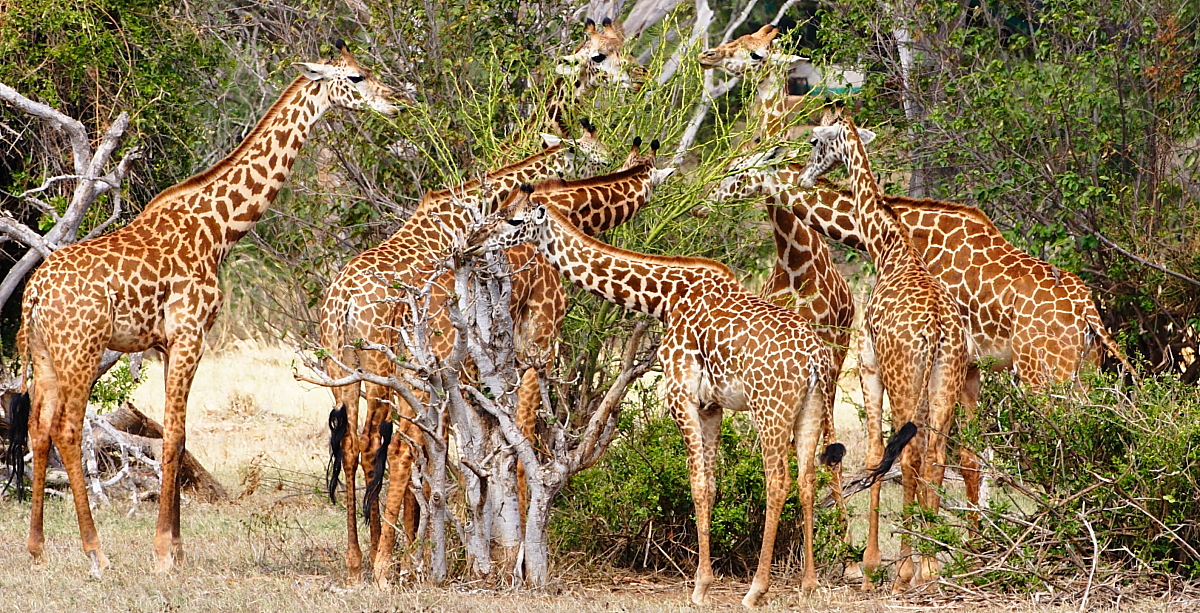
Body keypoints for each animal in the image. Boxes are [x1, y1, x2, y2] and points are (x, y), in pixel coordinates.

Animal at [9, 41, 408, 577]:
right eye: (356, 76)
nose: (396, 104)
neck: (219, 228)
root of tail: (33, 294)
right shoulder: (189, 335)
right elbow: (175, 437)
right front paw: (164, 552)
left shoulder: (165, 344)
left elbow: (177, 436)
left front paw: (175, 546)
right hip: (83, 350)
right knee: (69, 430)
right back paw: (95, 551)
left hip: (47, 354)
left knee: (38, 430)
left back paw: (36, 548)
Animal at [319, 125, 612, 586]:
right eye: (587, 152)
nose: (612, 159)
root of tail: (343, 302)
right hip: (380, 367)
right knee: (373, 446)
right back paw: (380, 559)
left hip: (342, 366)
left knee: (350, 445)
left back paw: (356, 562)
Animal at [466, 186, 913, 608]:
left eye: (513, 219)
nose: (472, 240)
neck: (664, 296)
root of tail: (815, 360)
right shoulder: (712, 405)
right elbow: (712, 485)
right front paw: (706, 580)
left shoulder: (681, 393)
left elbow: (696, 483)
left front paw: (700, 587)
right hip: (812, 406)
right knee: (805, 479)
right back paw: (808, 585)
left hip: (770, 407)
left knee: (777, 481)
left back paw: (757, 589)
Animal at [796, 113, 971, 592]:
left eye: (815, 140)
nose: (804, 175)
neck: (889, 247)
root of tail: (936, 329)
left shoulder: (869, 365)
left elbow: (875, 454)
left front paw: (872, 564)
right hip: (945, 376)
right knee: (935, 456)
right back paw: (930, 567)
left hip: (903, 373)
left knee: (907, 456)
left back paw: (906, 570)